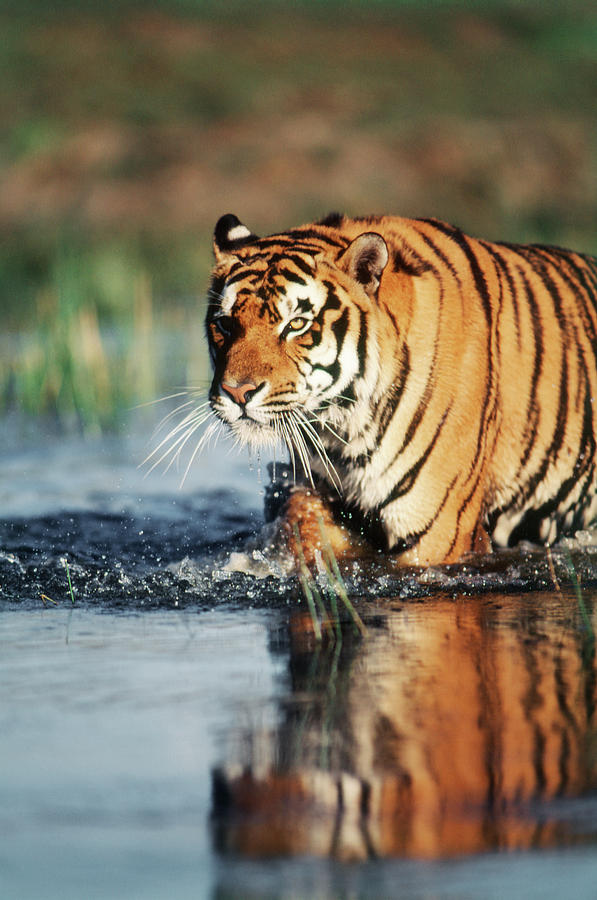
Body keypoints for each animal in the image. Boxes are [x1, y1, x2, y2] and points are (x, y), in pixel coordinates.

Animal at [205, 214, 596, 568]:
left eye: (297, 324)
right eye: (224, 324)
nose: (237, 392)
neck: (342, 429)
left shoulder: (441, 529)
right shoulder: (319, 489)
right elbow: (302, 524)